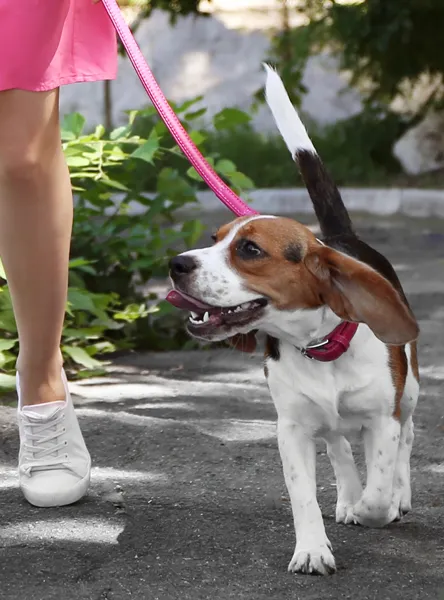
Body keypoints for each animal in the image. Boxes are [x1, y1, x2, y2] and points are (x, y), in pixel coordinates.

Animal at [166, 67, 420, 576]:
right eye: (214, 238)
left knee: (406, 439)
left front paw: (377, 505)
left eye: (249, 249)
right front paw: (313, 548)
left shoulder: (381, 420)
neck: (321, 348)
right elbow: (304, 493)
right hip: (327, 422)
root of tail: (338, 238)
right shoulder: (292, 430)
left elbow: (379, 488)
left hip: (411, 394)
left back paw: (395, 495)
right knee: (339, 446)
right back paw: (345, 497)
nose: (177, 264)